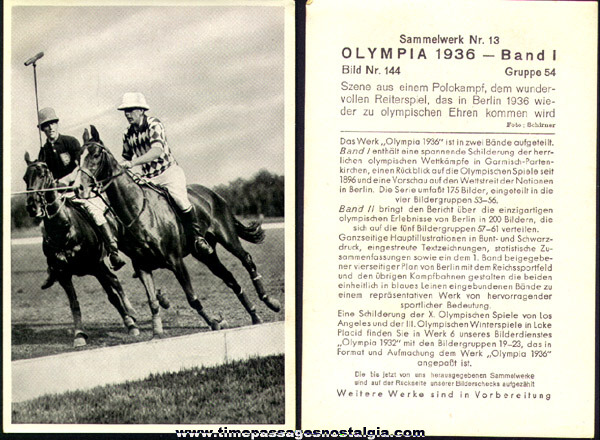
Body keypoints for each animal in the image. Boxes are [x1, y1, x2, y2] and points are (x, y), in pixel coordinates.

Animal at [22, 154, 140, 348]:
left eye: (43, 174)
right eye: (25, 177)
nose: (32, 206)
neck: (65, 230)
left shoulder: (96, 266)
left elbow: (112, 293)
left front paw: (131, 323)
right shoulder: (63, 274)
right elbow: (74, 303)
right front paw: (79, 335)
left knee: (116, 283)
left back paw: (133, 315)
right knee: (113, 285)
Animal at [75, 127, 282, 336]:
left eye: (95, 155)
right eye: (78, 158)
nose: (78, 188)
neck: (138, 211)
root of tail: (212, 194)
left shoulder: (175, 260)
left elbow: (192, 298)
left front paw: (213, 323)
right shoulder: (142, 266)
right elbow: (153, 301)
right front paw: (157, 331)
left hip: (228, 237)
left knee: (246, 259)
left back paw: (270, 302)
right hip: (206, 254)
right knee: (230, 278)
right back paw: (255, 315)